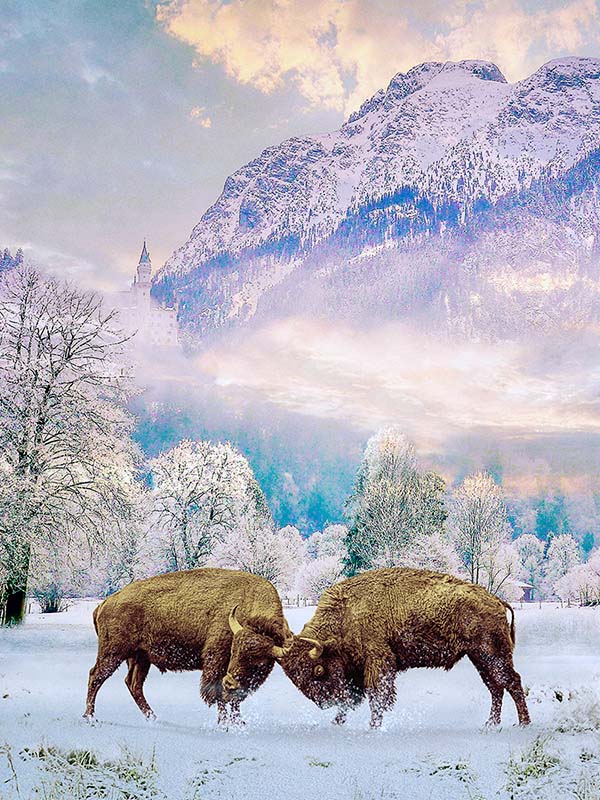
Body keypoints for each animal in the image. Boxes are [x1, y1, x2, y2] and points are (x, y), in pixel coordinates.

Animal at [84, 568, 292, 726]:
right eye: (234, 652)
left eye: (259, 661)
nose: (230, 682)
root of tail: (105, 603)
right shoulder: (215, 664)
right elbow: (218, 694)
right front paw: (223, 724)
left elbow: (234, 700)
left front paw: (238, 723)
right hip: (113, 653)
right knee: (96, 676)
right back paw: (90, 717)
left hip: (140, 658)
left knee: (133, 684)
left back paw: (154, 718)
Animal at [280, 567, 530, 728]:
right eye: (296, 680)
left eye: (318, 671)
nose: (324, 704)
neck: (347, 613)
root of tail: (497, 601)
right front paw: (337, 722)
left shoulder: (377, 662)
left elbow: (377, 697)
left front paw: (373, 726)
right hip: (478, 657)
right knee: (496, 687)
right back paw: (491, 724)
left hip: (491, 654)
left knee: (511, 682)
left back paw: (523, 723)